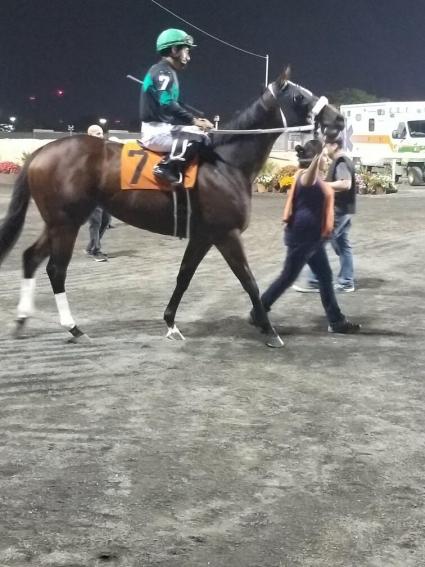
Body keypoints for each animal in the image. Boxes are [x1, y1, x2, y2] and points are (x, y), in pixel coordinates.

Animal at [0, 69, 344, 348]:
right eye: (299, 96)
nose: (338, 119)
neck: (225, 163)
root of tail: (41, 152)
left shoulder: (203, 236)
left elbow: (184, 276)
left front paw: (170, 323)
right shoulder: (227, 234)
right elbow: (248, 280)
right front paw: (269, 329)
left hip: (57, 222)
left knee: (30, 257)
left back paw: (22, 319)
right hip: (67, 222)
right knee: (56, 270)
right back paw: (73, 328)